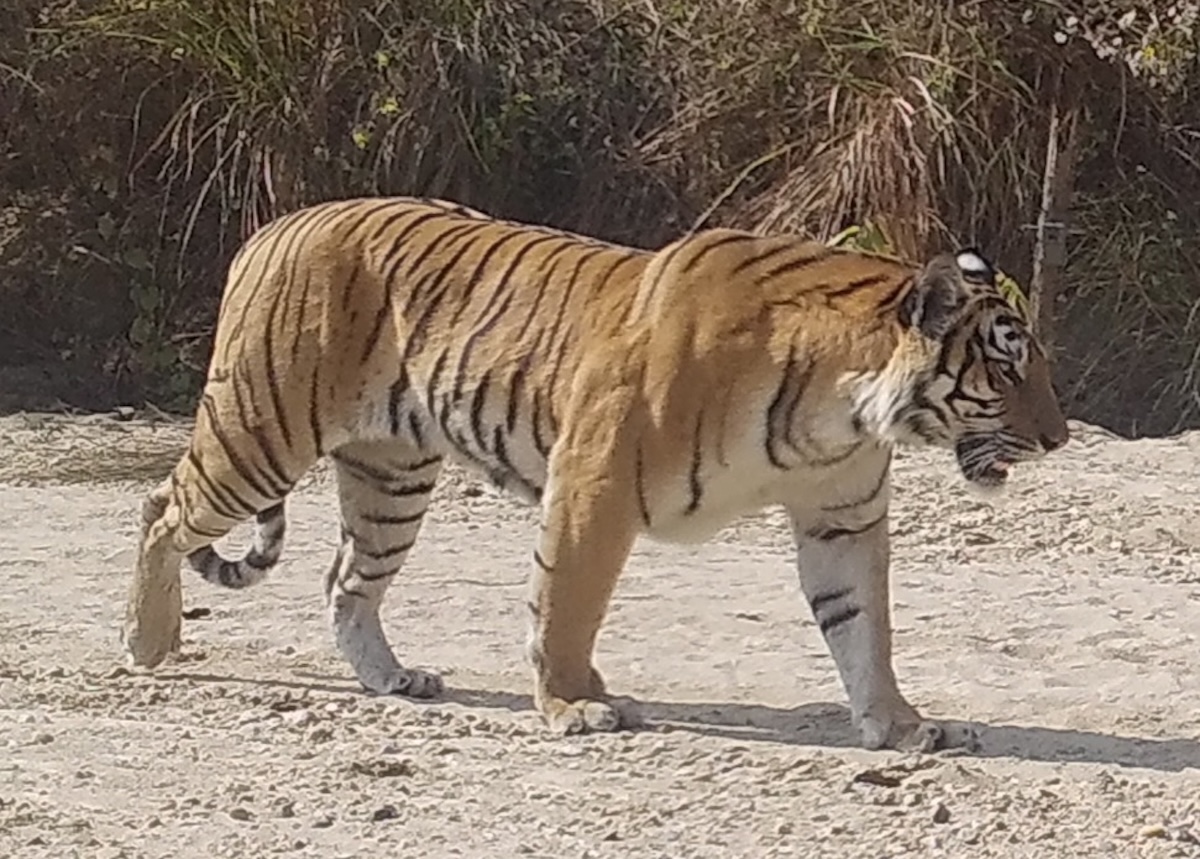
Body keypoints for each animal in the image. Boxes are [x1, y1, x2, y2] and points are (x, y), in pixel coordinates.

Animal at [120, 195, 1069, 752]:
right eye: (1008, 366)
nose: (1060, 439)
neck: (843, 409)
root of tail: (277, 226)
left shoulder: (842, 514)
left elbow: (865, 628)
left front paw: (901, 724)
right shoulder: (595, 485)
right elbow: (568, 603)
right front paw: (574, 704)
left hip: (392, 479)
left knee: (346, 579)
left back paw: (393, 678)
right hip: (260, 431)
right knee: (160, 505)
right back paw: (148, 642)